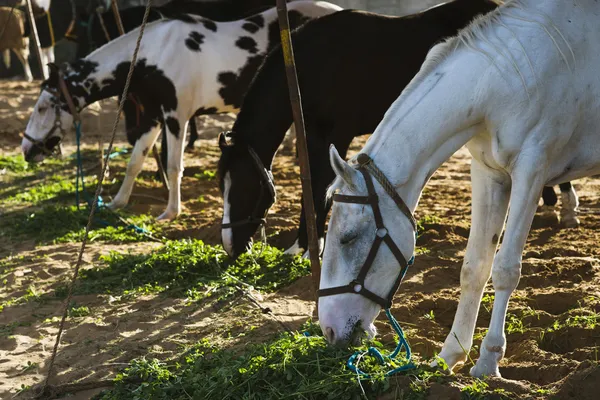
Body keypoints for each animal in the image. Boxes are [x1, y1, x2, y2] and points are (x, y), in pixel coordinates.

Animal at [21, 1, 340, 222]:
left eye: (43, 107)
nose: (26, 150)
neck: (153, 55)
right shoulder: (152, 118)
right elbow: (135, 162)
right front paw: (117, 203)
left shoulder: (176, 117)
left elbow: (174, 165)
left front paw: (170, 212)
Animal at [218, 0, 580, 258]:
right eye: (222, 186)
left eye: (244, 188)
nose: (231, 246)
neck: (310, 66)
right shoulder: (313, 138)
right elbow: (312, 185)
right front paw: (303, 246)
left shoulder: (338, 135)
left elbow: (321, 186)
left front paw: (310, 248)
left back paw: (568, 207)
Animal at [318, 0, 600, 380]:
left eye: (347, 238)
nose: (329, 329)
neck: (507, 79)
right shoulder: (489, 174)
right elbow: (474, 267)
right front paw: (450, 355)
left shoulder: (531, 172)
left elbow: (505, 269)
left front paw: (488, 360)